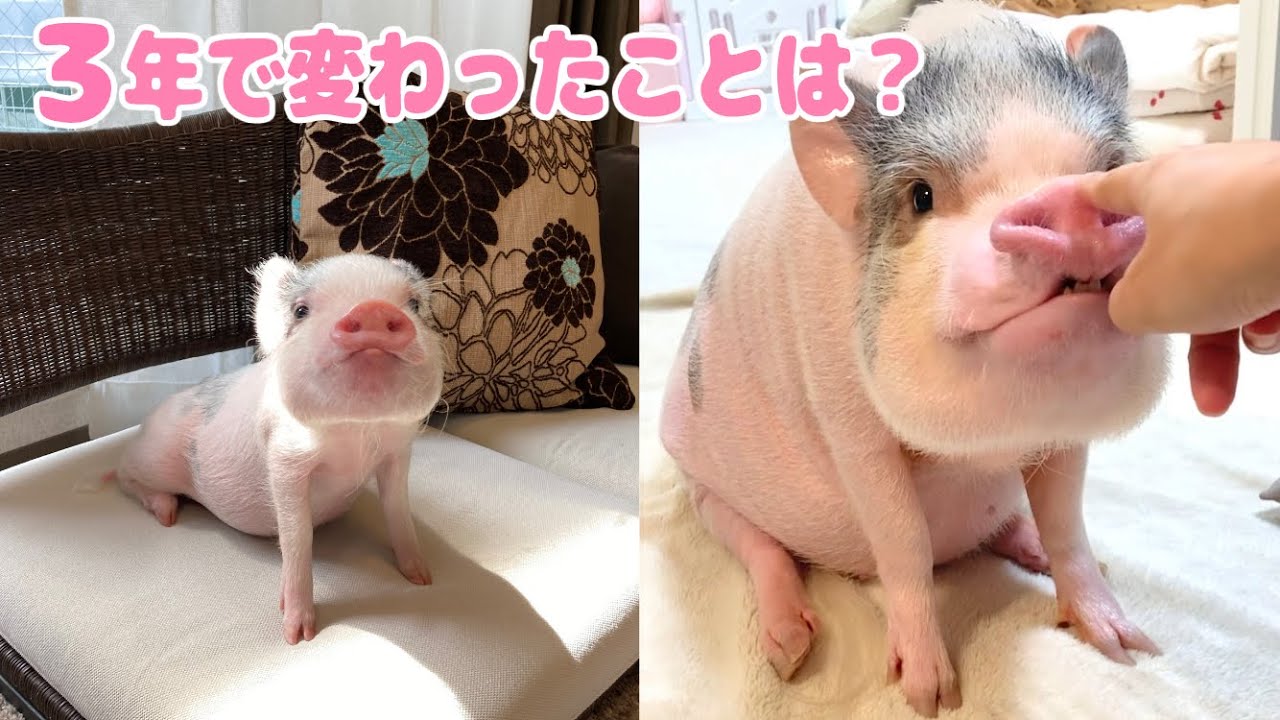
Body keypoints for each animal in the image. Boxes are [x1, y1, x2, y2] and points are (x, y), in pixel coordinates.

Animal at [107, 253, 444, 644]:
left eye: (415, 305)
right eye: (301, 311)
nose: (374, 308)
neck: (354, 432)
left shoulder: (397, 451)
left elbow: (398, 510)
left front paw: (422, 578)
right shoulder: (285, 457)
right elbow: (297, 535)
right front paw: (297, 636)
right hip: (153, 458)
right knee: (124, 474)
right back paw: (166, 514)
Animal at [658, 5, 1171, 716]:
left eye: (1114, 166)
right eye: (921, 195)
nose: (1071, 201)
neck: (984, 444)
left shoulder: (1067, 437)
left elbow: (1069, 524)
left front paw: (1130, 649)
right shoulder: (847, 421)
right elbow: (904, 540)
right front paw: (930, 695)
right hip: (701, 481)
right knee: (755, 543)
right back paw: (789, 653)